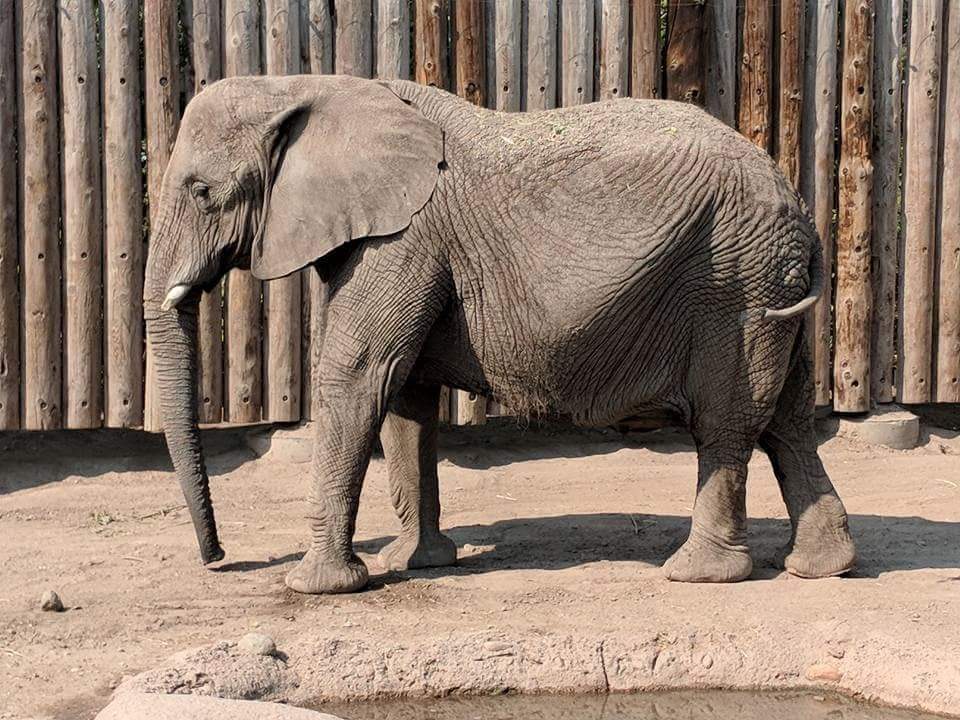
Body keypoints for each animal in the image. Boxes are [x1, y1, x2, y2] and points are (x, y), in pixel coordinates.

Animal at [143, 74, 856, 594]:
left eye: (202, 192)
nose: (219, 558)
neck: (307, 85)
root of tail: (797, 201)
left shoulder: (403, 239)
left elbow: (359, 377)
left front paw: (318, 587)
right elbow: (406, 398)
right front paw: (418, 563)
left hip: (734, 286)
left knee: (728, 421)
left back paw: (698, 575)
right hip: (770, 285)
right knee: (786, 421)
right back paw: (822, 567)